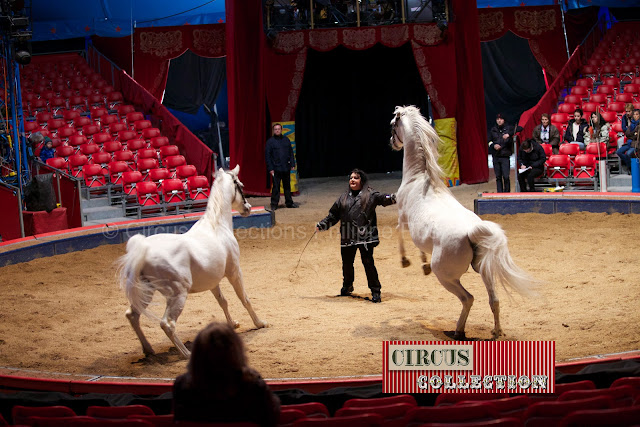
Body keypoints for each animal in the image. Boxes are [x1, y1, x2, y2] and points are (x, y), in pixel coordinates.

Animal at [118, 166, 268, 360]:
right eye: (241, 185)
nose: (248, 208)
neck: (217, 225)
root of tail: (143, 251)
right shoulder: (234, 272)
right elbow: (244, 298)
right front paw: (259, 323)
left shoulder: (213, 281)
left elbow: (223, 301)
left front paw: (233, 324)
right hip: (178, 294)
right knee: (167, 324)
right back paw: (186, 353)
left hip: (146, 291)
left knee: (132, 315)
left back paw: (148, 349)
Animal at [390, 107, 536, 342]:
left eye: (392, 126)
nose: (391, 142)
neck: (418, 178)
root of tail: (471, 232)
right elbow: (417, 245)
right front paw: (422, 264)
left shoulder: (402, 218)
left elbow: (399, 234)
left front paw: (406, 261)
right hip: (485, 270)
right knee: (494, 300)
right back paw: (497, 332)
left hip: (446, 277)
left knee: (468, 298)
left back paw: (458, 330)